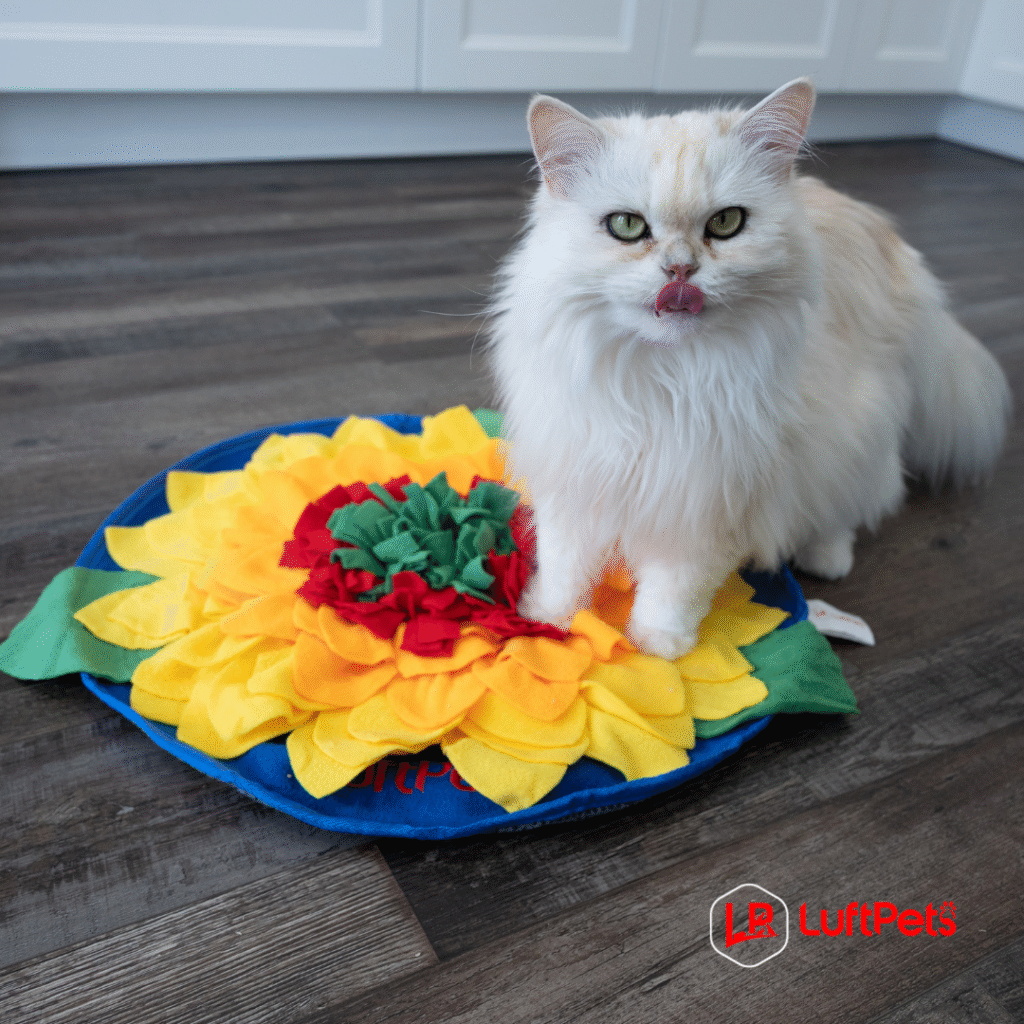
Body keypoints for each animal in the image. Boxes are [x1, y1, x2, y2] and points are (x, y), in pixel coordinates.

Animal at [487, 78, 1011, 660]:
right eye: (626, 226)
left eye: (725, 223)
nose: (680, 269)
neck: (663, 378)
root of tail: (899, 253)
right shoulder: (579, 475)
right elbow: (564, 567)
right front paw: (545, 623)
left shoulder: (708, 497)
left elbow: (673, 588)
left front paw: (659, 648)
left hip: (854, 432)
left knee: (854, 502)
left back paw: (827, 558)